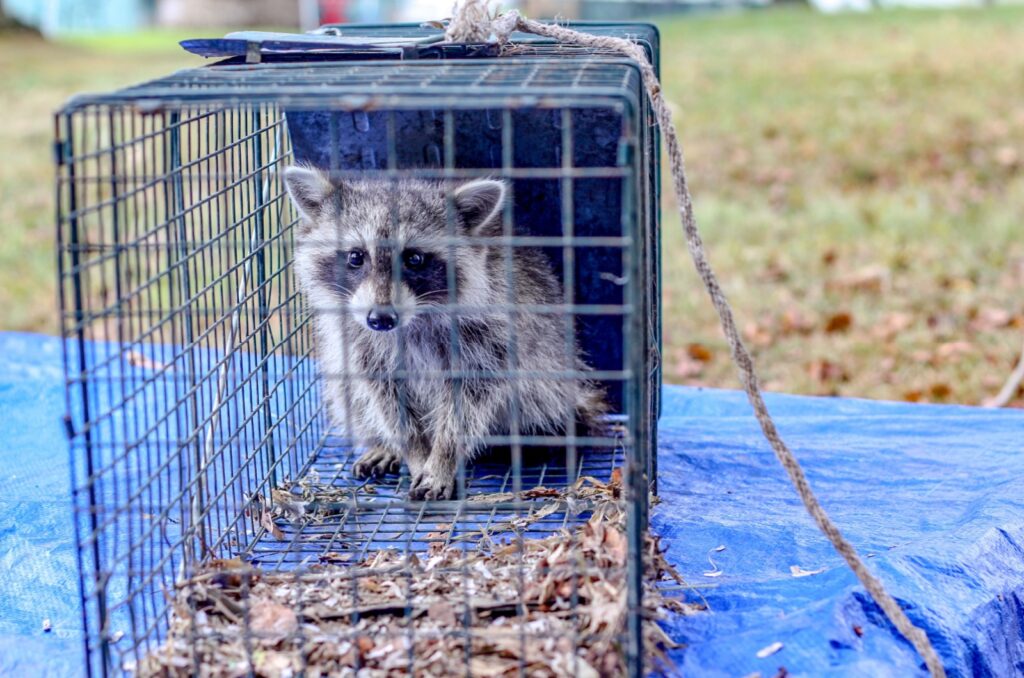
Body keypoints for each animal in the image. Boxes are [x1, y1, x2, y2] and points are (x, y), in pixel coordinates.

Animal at [284, 166, 602, 501]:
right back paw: (383, 443)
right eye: (356, 257)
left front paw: (442, 458)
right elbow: (388, 400)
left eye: (414, 259)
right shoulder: (360, 342)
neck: (411, 322)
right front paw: (414, 451)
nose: (381, 319)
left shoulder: (489, 337)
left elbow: (466, 404)